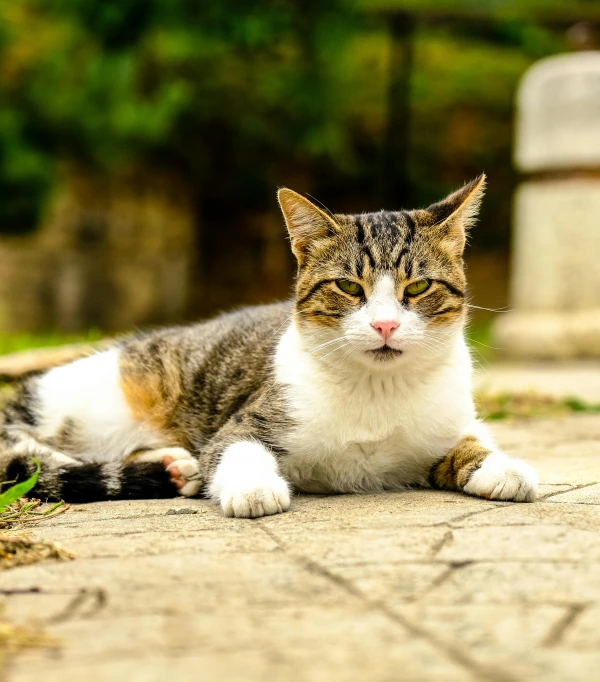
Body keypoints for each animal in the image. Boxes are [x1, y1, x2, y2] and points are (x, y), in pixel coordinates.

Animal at [0, 175, 536, 516]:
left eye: (419, 287)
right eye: (349, 287)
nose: (384, 325)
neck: (378, 389)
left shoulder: (451, 422)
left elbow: (473, 442)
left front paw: (501, 466)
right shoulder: (244, 423)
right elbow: (235, 448)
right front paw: (254, 487)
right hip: (94, 403)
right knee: (28, 452)